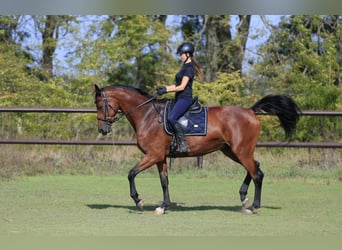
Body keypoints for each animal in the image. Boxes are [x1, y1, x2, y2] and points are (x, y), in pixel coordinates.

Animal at [93, 84, 300, 215]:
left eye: (100, 104)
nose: (102, 130)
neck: (148, 116)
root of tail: (250, 111)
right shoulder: (160, 157)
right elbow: (164, 182)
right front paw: (163, 206)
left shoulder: (153, 155)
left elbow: (131, 173)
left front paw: (139, 201)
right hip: (232, 151)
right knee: (255, 167)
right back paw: (243, 198)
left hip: (241, 151)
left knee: (257, 173)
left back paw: (253, 206)